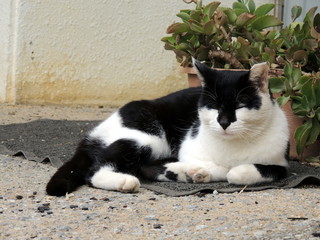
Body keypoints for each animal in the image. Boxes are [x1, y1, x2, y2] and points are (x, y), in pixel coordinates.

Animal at [47, 59, 290, 196]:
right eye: (213, 106)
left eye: (240, 105)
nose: (223, 122)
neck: (235, 144)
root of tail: (92, 134)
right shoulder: (188, 148)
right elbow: (222, 168)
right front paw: (202, 171)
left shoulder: (281, 163)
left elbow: (243, 171)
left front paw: (203, 173)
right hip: (149, 138)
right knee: (97, 170)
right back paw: (125, 181)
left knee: (146, 166)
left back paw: (180, 173)